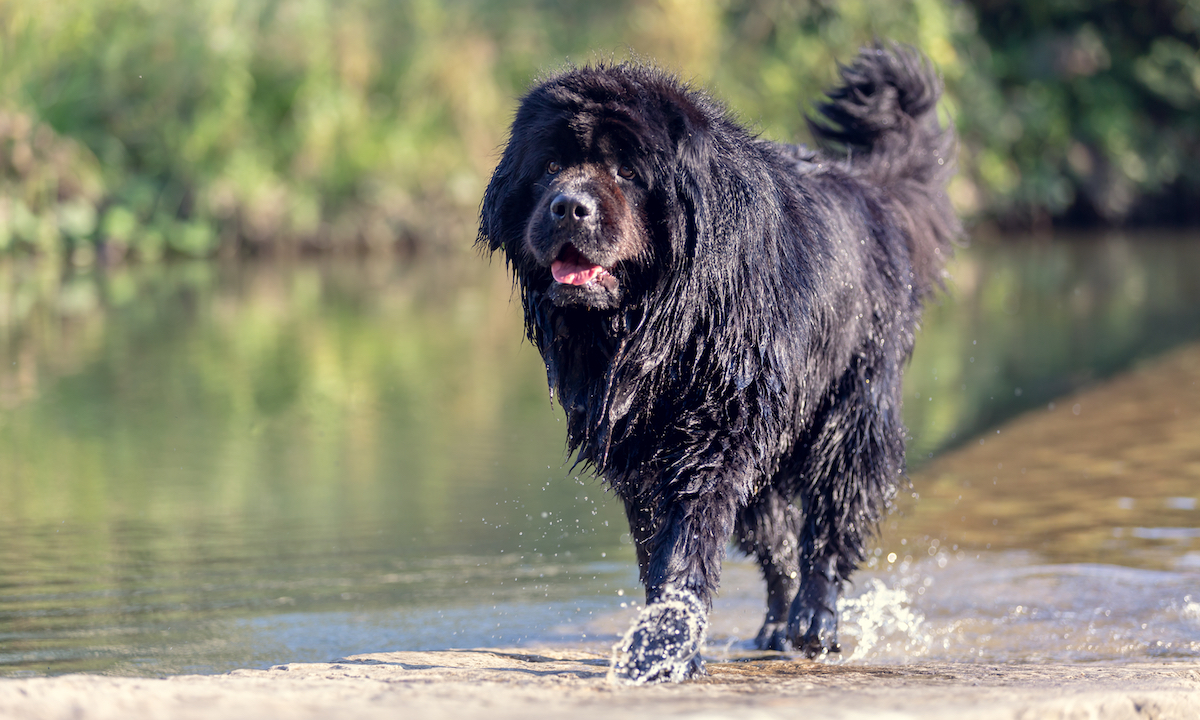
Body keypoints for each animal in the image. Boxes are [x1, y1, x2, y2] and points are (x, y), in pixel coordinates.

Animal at [477, 42, 955, 681]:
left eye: (627, 171)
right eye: (550, 165)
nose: (568, 207)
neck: (664, 324)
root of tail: (868, 190)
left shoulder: (713, 437)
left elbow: (688, 543)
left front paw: (663, 649)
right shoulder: (642, 451)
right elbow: (659, 546)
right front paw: (664, 636)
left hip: (852, 408)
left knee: (829, 523)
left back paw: (814, 621)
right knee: (777, 541)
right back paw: (776, 625)